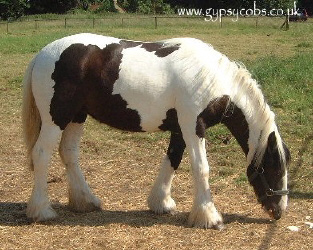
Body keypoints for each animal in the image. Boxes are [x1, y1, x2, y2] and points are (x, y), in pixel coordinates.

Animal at [22, 32, 290, 229]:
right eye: (274, 167)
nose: (279, 211)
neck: (212, 80)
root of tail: (42, 54)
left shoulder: (180, 130)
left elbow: (172, 161)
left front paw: (161, 203)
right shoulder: (193, 127)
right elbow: (201, 168)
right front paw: (209, 217)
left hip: (77, 117)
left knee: (69, 153)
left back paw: (86, 201)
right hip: (56, 118)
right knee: (42, 154)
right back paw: (42, 211)